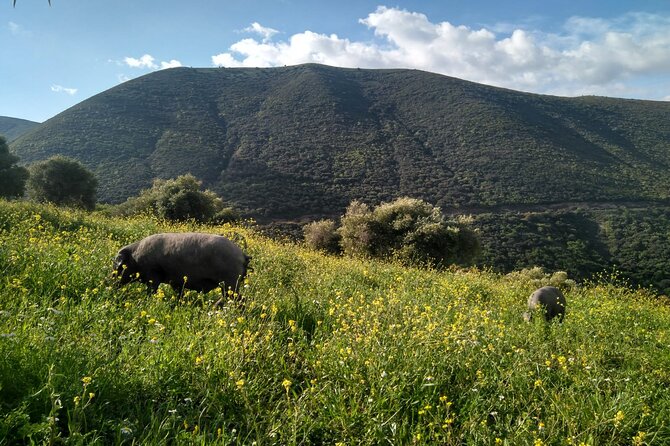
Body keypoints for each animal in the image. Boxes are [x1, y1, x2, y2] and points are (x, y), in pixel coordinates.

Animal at [113, 232, 251, 301]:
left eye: (118, 267)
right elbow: (179, 294)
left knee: (238, 299)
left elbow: (152, 290)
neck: (135, 258)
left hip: (230, 282)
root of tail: (242, 255)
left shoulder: (153, 274)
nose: (111, 283)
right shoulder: (176, 281)